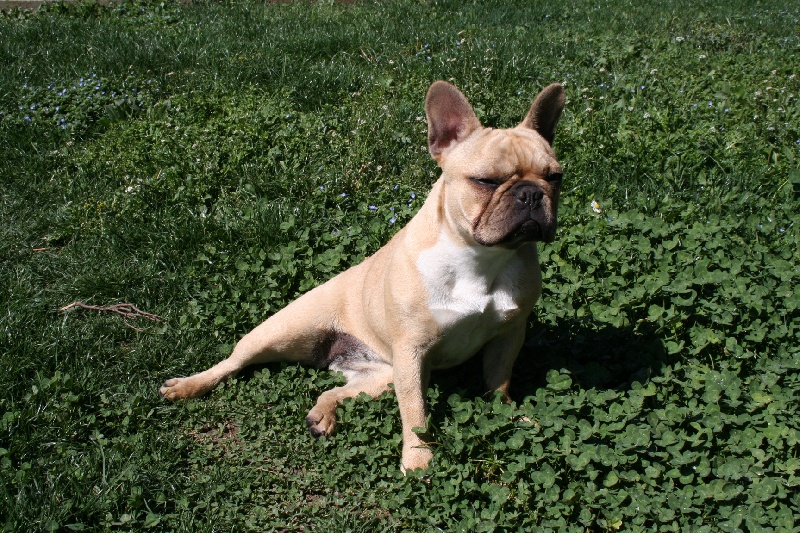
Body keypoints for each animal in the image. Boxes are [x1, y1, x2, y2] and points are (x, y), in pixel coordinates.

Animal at [159, 81, 564, 472]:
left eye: (555, 177)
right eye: (486, 181)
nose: (531, 193)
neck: (480, 258)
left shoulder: (508, 334)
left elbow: (499, 383)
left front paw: (512, 417)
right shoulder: (412, 352)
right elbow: (415, 413)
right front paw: (418, 459)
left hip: (382, 376)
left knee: (333, 391)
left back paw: (322, 414)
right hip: (282, 332)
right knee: (233, 363)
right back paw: (188, 385)